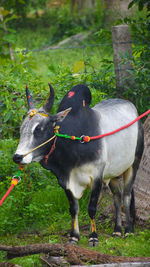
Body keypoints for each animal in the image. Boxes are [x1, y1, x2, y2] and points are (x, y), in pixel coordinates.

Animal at [12, 84, 144, 247]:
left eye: (39, 129)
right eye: (21, 128)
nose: (18, 157)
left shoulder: (97, 176)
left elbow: (91, 208)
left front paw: (93, 237)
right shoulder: (65, 180)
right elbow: (74, 208)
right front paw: (74, 236)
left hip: (134, 164)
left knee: (126, 195)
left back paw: (129, 230)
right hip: (113, 173)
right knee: (117, 197)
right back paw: (117, 230)